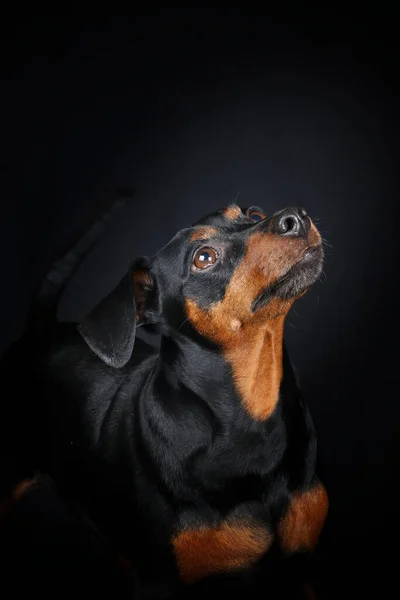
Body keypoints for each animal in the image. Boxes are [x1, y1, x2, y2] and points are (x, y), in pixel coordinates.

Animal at [0, 203, 328, 600]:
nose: (295, 217)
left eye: (252, 214)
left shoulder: (302, 569)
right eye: (204, 258)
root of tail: (39, 331)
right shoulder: (160, 583)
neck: (252, 417)